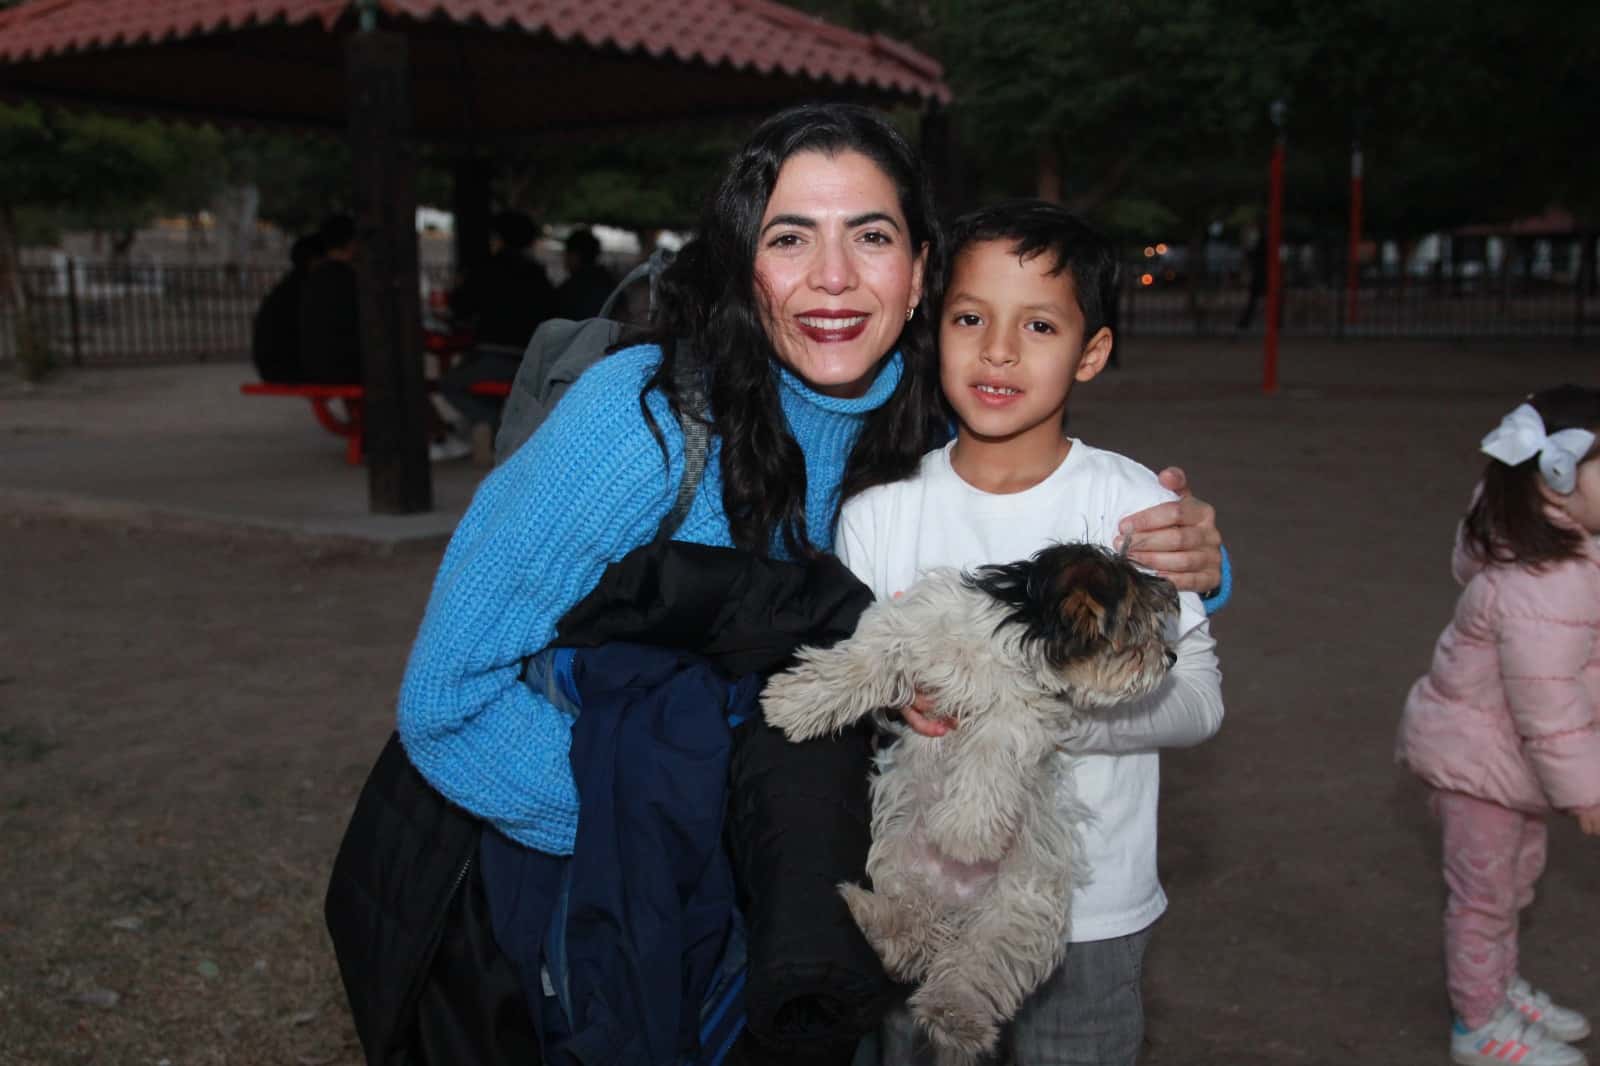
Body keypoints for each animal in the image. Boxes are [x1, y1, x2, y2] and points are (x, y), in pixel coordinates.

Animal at [755, 544, 1184, 1056]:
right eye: (1137, 630)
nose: (1171, 657)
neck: (1011, 648)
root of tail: (954, 910)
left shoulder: (1016, 720)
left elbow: (989, 766)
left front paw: (966, 833)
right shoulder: (907, 635)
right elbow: (863, 663)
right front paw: (795, 703)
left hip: (1019, 908)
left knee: (977, 968)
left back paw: (954, 1015)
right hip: (901, 862)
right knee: (911, 933)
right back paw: (877, 920)